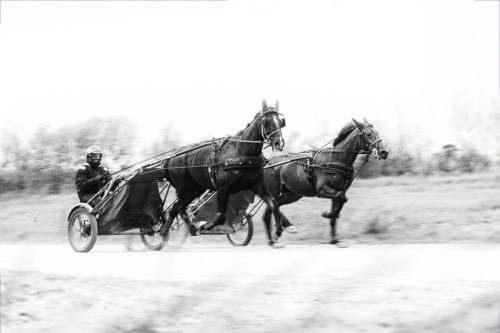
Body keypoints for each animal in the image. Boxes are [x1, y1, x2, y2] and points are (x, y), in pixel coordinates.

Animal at [164, 100, 288, 245]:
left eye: (280, 121)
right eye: (266, 121)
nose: (279, 142)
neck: (241, 153)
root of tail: (172, 157)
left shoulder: (257, 185)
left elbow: (273, 203)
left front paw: (278, 231)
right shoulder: (223, 188)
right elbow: (221, 215)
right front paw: (206, 225)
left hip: (195, 188)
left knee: (176, 207)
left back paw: (164, 231)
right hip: (184, 187)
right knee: (180, 207)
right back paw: (191, 228)